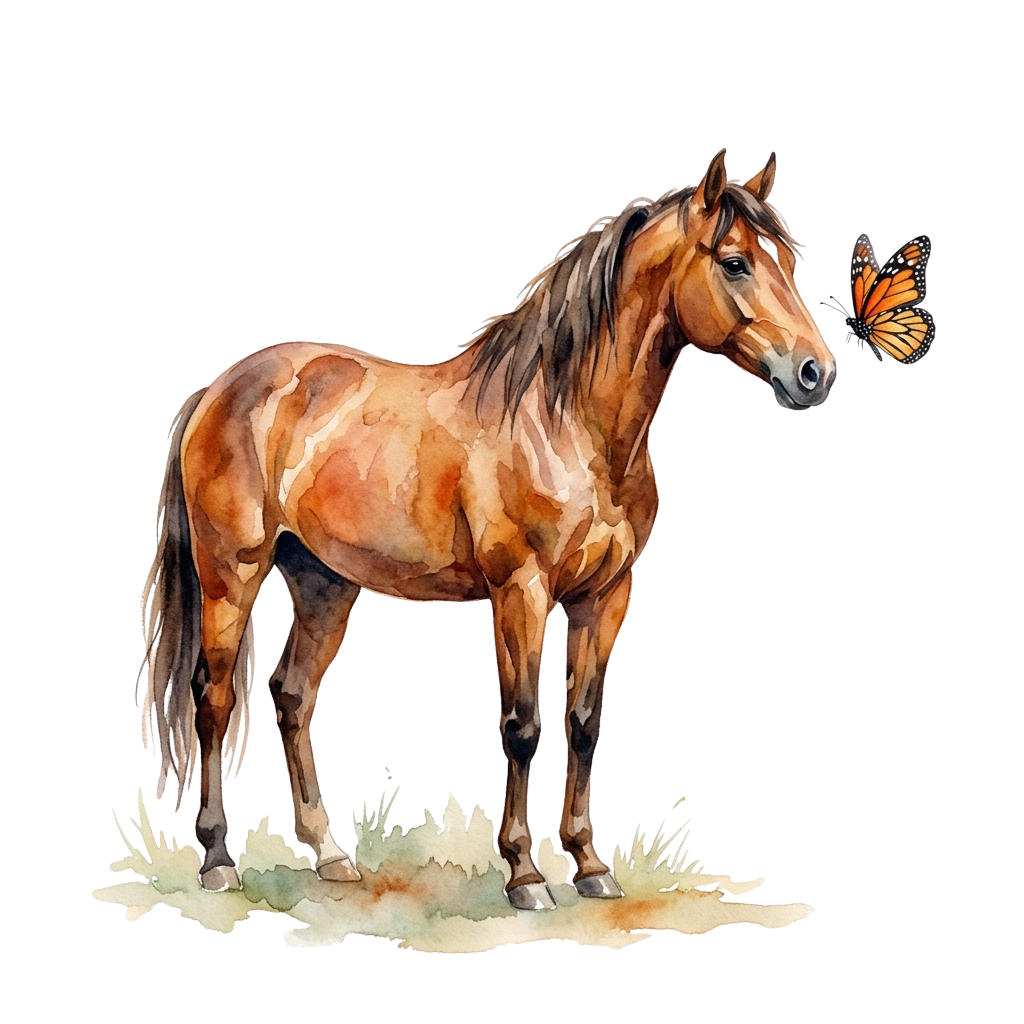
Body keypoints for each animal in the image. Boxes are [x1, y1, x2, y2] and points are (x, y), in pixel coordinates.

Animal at [137, 149, 836, 910]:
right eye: (735, 262)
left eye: (787, 261)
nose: (816, 373)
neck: (566, 421)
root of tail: (219, 389)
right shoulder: (520, 591)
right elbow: (523, 725)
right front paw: (526, 874)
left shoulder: (607, 596)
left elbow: (583, 723)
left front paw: (590, 866)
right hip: (231, 576)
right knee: (214, 701)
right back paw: (217, 860)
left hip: (323, 584)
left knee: (293, 698)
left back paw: (329, 854)